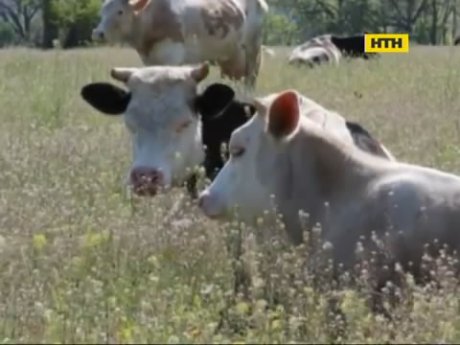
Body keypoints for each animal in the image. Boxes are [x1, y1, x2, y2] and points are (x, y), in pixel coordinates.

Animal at [91, 0, 268, 87]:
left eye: (120, 11)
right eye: (102, 12)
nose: (98, 33)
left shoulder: (172, 57)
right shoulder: (150, 61)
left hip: (252, 49)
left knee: (250, 80)